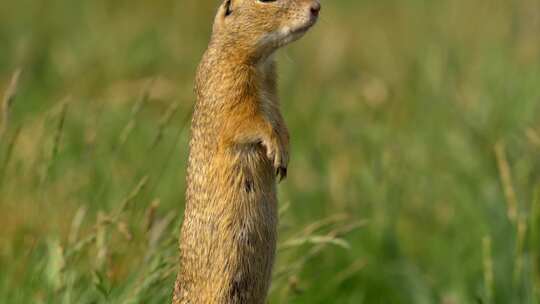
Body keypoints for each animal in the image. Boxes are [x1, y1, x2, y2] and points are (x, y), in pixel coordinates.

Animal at [174, 1, 320, 302]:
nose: (316, 6)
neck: (260, 62)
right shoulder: (229, 90)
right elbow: (248, 122)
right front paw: (275, 149)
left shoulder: (273, 95)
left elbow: (280, 123)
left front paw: (284, 153)